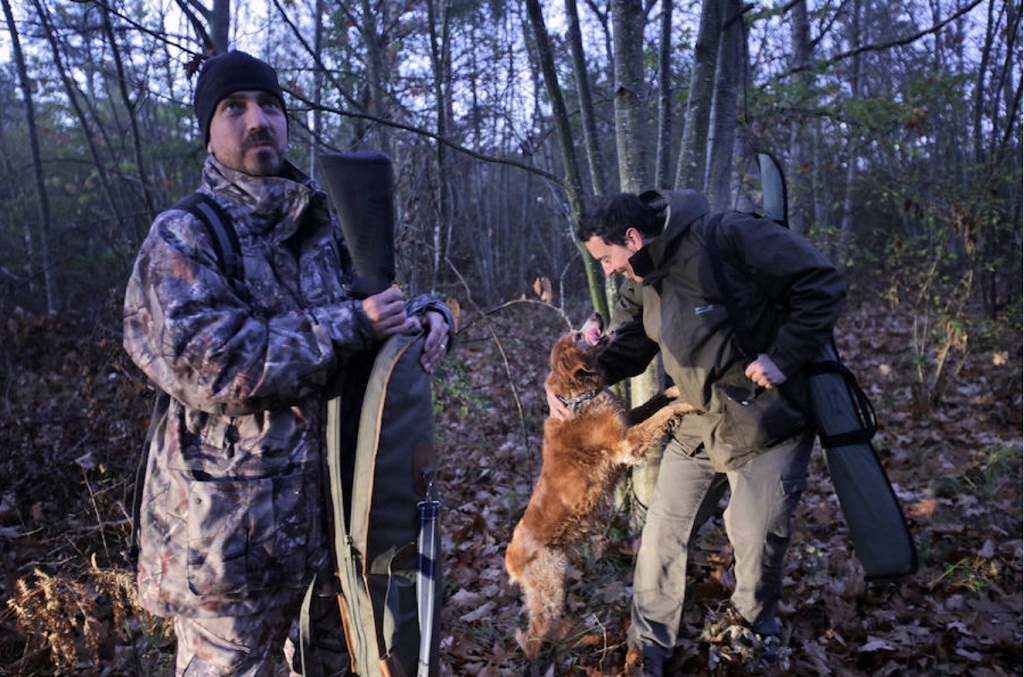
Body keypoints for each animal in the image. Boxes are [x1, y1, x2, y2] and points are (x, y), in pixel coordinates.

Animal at [505, 313, 696, 655]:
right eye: (578, 335)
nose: (596, 315)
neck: (577, 398)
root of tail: (510, 558)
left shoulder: (627, 420)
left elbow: (655, 402)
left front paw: (675, 390)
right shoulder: (627, 444)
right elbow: (660, 415)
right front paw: (686, 403)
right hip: (550, 580)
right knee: (535, 633)